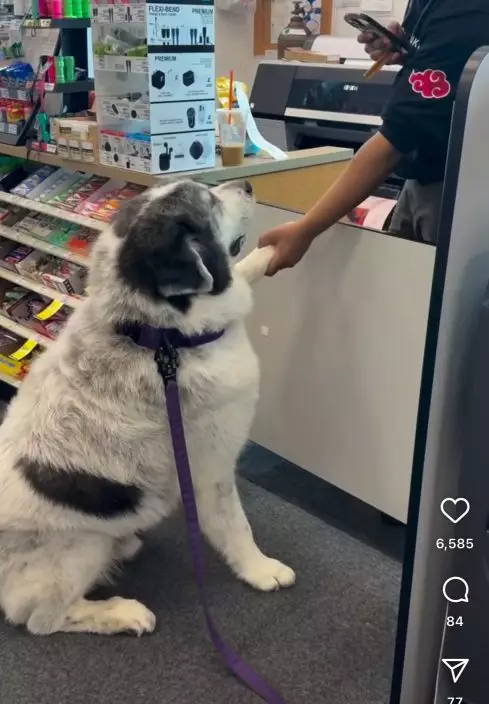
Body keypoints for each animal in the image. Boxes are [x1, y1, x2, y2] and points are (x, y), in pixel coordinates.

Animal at [0, 178, 295, 636]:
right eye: (209, 203)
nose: (247, 184)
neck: (161, 337)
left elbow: (241, 274)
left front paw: (272, 251)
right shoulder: (212, 470)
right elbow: (236, 527)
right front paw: (262, 570)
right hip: (81, 546)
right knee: (41, 617)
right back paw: (121, 613)